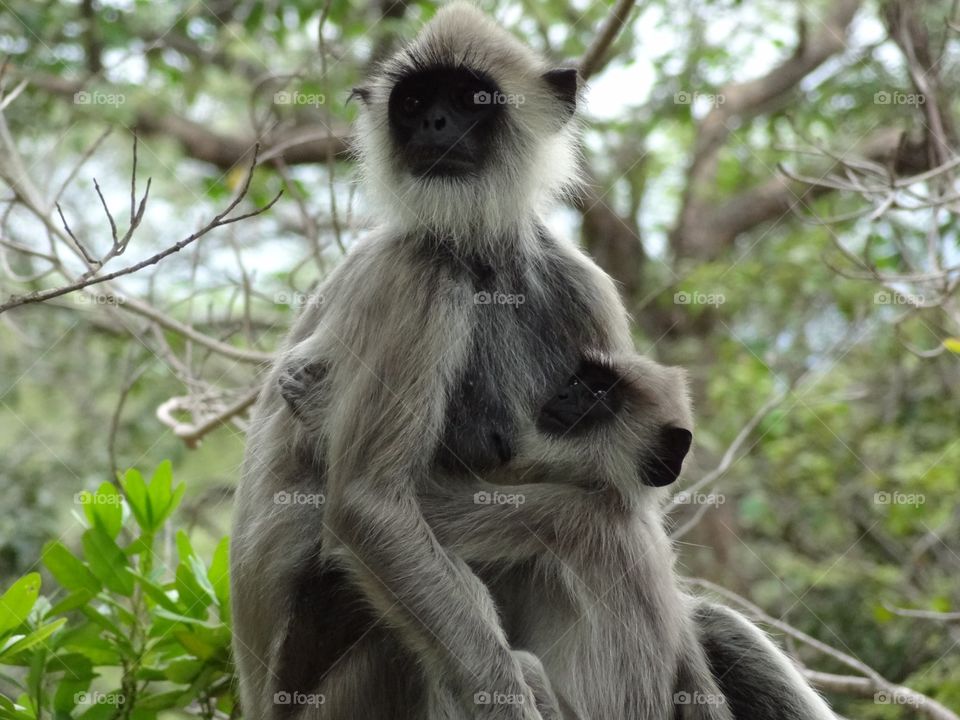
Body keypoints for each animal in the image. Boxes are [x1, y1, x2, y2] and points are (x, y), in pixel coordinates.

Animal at [232, 2, 632, 716]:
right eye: (414, 103)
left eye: (469, 99)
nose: (433, 125)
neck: (479, 257)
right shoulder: (418, 271)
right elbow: (368, 506)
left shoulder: (586, 293)